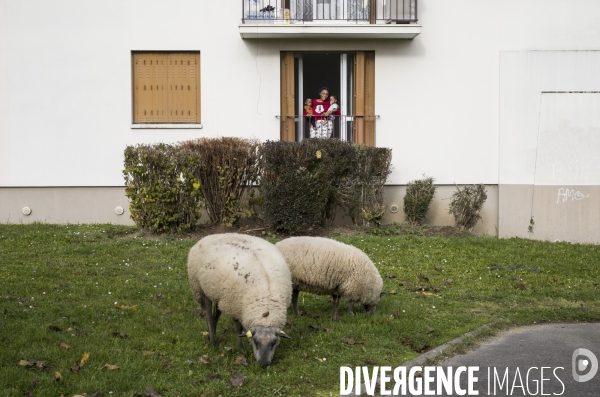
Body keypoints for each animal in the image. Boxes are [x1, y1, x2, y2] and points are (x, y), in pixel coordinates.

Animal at [186, 232, 292, 366]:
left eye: (273, 343)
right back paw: (213, 341)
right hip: (201, 289)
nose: (263, 364)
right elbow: (238, 328)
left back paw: (212, 333)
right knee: (209, 316)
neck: (265, 305)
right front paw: (240, 347)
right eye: (255, 342)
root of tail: (209, 236)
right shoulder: (235, 306)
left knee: (216, 314)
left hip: (220, 293)